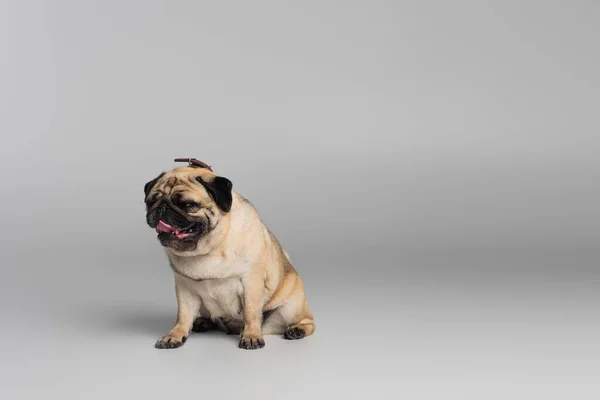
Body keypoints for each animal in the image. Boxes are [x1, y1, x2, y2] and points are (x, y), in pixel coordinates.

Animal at [145, 159, 314, 350]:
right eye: (151, 202)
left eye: (188, 205)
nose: (162, 208)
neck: (211, 248)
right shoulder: (184, 287)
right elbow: (183, 315)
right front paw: (174, 335)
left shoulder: (251, 283)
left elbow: (251, 313)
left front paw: (251, 336)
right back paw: (203, 322)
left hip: (290, 309)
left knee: (307, 321)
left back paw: (297, 330)